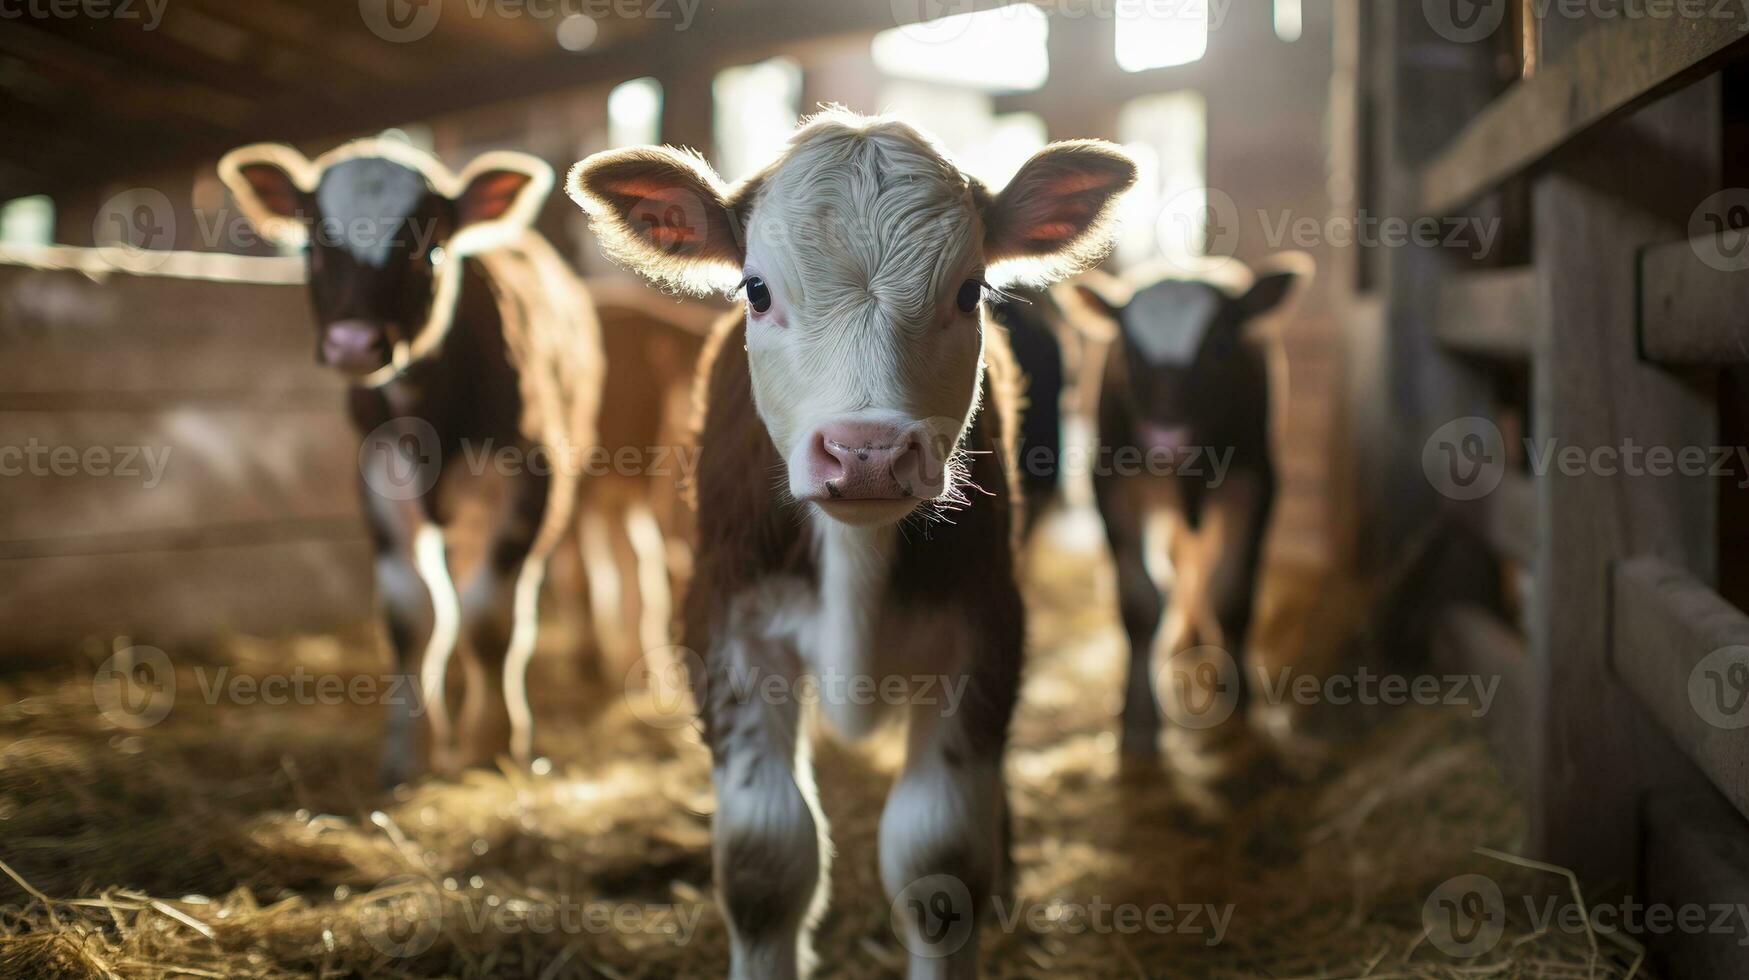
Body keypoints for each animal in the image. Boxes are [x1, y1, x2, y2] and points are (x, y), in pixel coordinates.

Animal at [218, 138, 605, 784]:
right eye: (312, 244)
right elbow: (412, 618)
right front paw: (409, 753)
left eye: (430, 248)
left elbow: (489, 619)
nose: (353, 343)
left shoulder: (531, 482)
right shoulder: (376, 483)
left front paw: (491, 742)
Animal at [563, 111, 1133, 973]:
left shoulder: (986, 625)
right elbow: (764, 862)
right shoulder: (726, 623)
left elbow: (940, 860)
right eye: (756, 290)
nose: (866, 453)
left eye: (969, 290)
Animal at [1070, 259, 1308, 759]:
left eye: (1220, 345)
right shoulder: (1110, 481)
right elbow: (1140, 600)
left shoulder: (1256, 480)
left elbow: (1233, 592)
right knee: (1182, 562)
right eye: (1129, 351)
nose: (1166, 438)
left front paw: (1238, 700)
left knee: (1198, 564)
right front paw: (1138, 718)